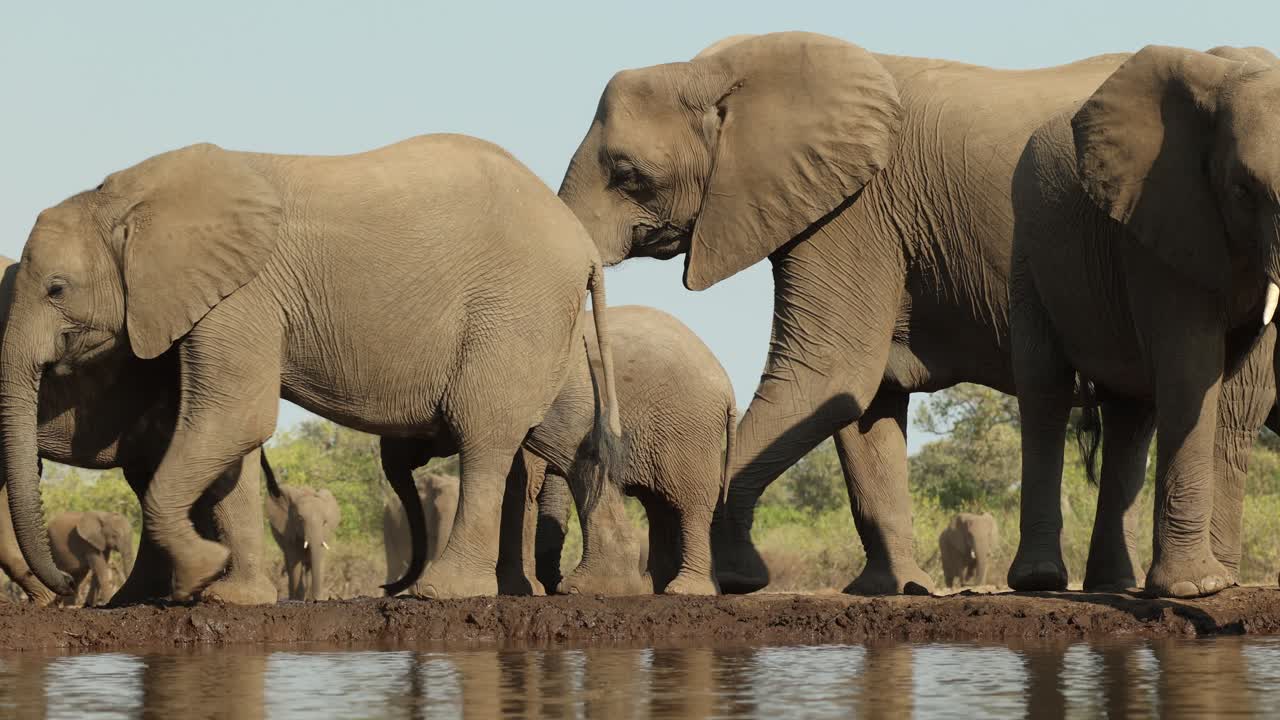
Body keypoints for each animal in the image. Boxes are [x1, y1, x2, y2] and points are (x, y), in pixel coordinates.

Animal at [265, 464, 340, 601]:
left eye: (325, 522)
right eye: (300, 519)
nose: (315, 598)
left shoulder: (324, 535)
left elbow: (319, 559)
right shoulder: (289, 531)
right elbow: (295, 562)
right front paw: (298, 599)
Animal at [557, 31, 1132, 595]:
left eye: (626, 173)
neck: (723, 71)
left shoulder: (856, 210)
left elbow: (829, 372)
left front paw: (735, 579)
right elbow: (867, 402)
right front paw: (895, 588)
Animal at [1008, 45, 1280, 597]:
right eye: (1243, 190)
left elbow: (1244, 388)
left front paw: (1221, 583)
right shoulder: (1159, 221)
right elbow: (1191, 368)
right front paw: (1195, 589)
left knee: (1130, 416)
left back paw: (1113, 585)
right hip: (1028, 247)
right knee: (1044, 387)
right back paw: (1040, 579)